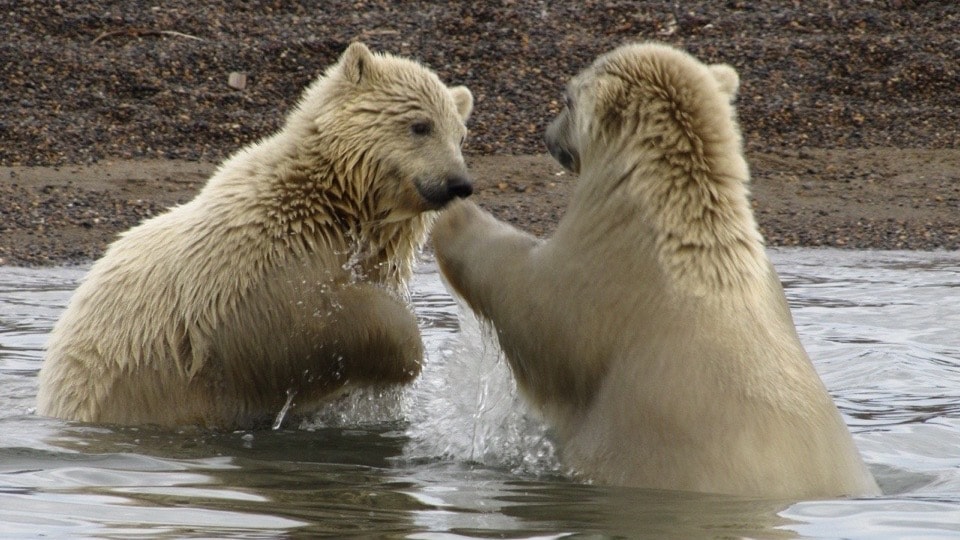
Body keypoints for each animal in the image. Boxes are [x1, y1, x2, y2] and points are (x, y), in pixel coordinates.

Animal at [36, 42, 474, 429]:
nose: (458, 183)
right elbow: (312, 326)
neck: (331, 201)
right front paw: (407, 348)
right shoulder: (255, 279)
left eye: (460, 134)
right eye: (420, 125)